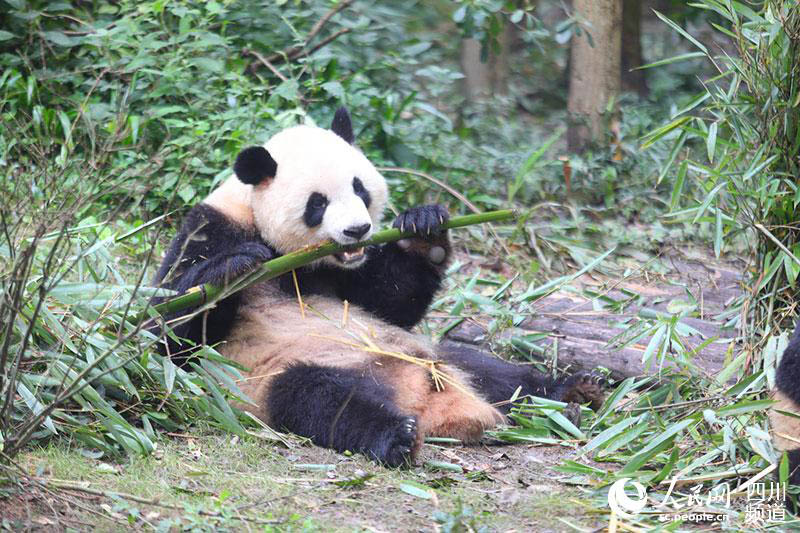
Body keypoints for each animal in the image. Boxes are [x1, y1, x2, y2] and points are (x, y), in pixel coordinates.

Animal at [155, 106, 600, 464]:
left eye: (359, 188)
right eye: (317, 203)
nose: (358, 230)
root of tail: (438, 405)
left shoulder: (345, 274)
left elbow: (388, 302)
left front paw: (423, 228)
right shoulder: (209, 229)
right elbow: (173, 341)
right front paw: (234, 268)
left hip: (432, 354)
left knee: (495, 372)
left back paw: (573, 390)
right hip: (279, 375)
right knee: (322, 400)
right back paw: (397, 437)